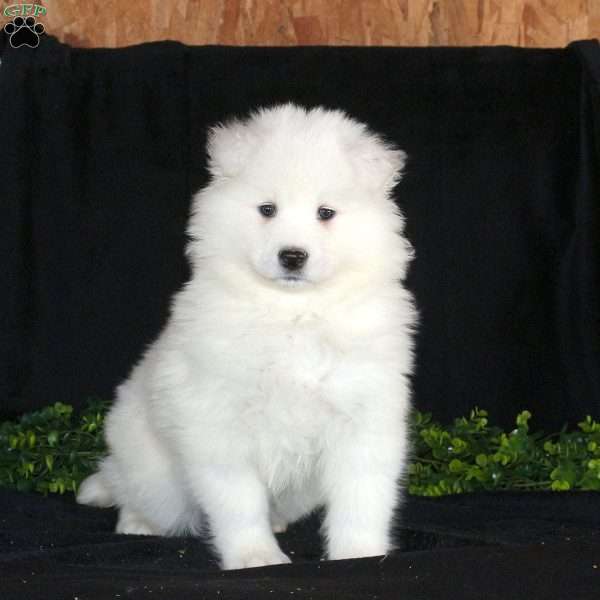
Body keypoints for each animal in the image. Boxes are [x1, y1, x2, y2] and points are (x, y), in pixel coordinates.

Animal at [77, 104, 418, 572]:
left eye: (325, 213)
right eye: (267, 209)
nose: (292, 255)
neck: (294, 312)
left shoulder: (365, 415)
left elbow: (363, 498)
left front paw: (362, 554)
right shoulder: (219, 421)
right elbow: (239, 502)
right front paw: (256, 557)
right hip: (155, 474)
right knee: (139, 497)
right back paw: (137, 523)